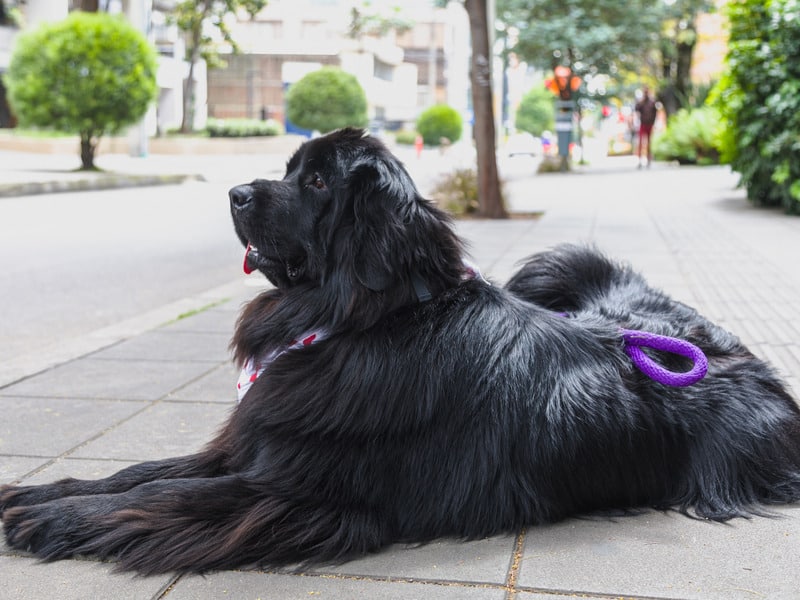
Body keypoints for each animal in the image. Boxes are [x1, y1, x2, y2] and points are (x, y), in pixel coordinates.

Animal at [1, 129, 800, 576]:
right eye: (288, 169)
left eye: (316, 180)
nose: (232, 191)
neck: (361, 323)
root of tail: (737, 350)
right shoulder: (255, 443)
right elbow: (141, 473)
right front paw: (42, 493)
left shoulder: (301, 489)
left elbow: (166, 496)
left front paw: (60, 522)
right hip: (563, 264)